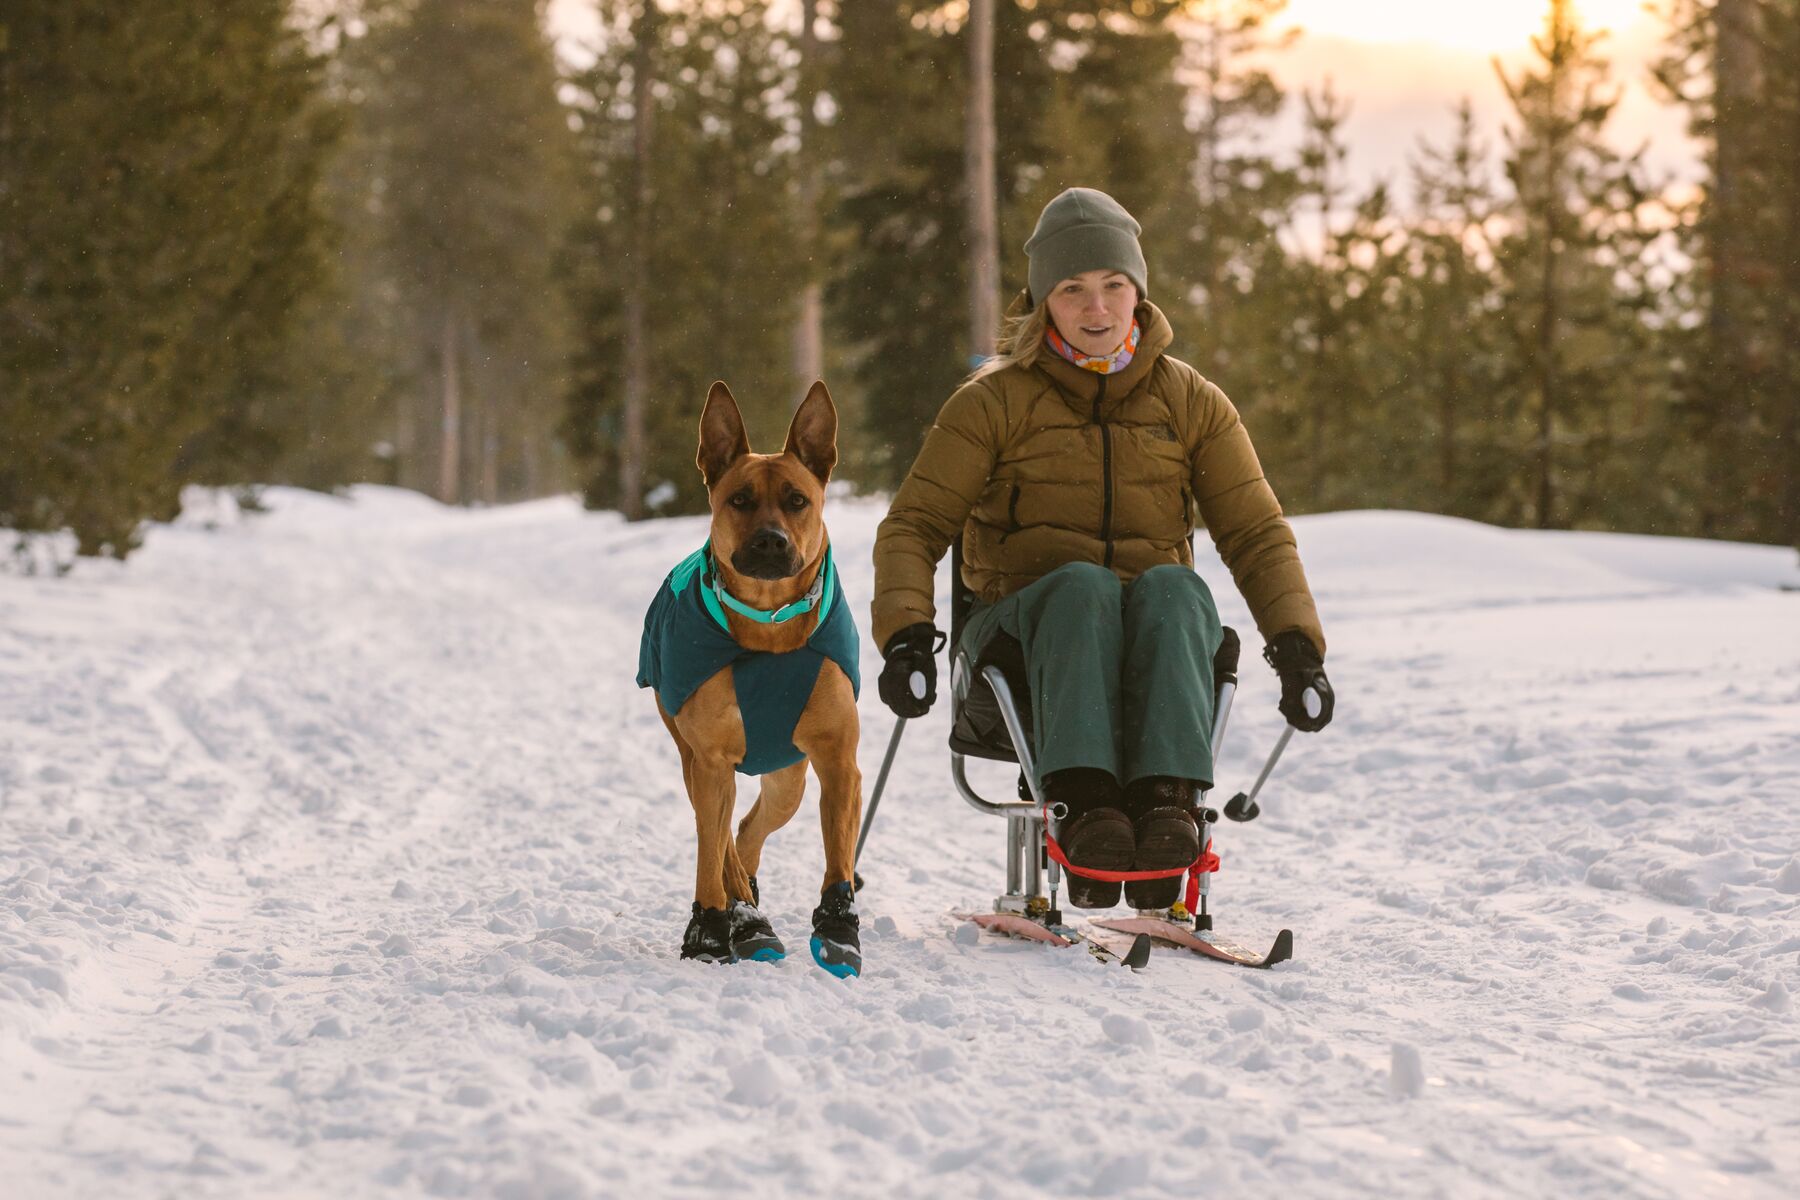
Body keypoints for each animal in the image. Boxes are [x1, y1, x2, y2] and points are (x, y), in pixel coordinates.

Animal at [640, 383, 864, 978]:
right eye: (739, 500)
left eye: (797, 500)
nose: (769, 542)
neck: (768, 624)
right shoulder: (711, 757)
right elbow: (709, 851)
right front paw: (711, 931)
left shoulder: (837, 759)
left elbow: (839, 851)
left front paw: (838, 929)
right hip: (692, 753)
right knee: (719, 837)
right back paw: (743, 916)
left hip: (789, 776)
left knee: (747, 829)